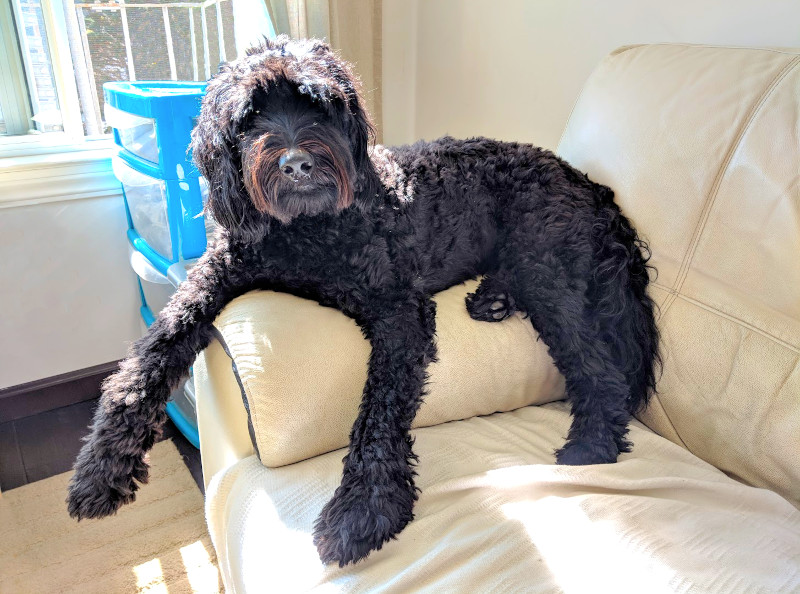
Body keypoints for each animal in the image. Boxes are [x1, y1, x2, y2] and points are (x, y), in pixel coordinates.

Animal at [67, 35, 656, 564]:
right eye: (249, 117)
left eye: (319, 106)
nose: (297, 163)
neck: (305, 233)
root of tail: (587, 184)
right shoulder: (213, 277)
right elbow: (148, 355)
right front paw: (99, 469)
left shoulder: (399, 311)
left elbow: (380, 407)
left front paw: (362, 509)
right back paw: (492, 300)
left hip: (546, 266)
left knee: (602, 371)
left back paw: (591, 445)